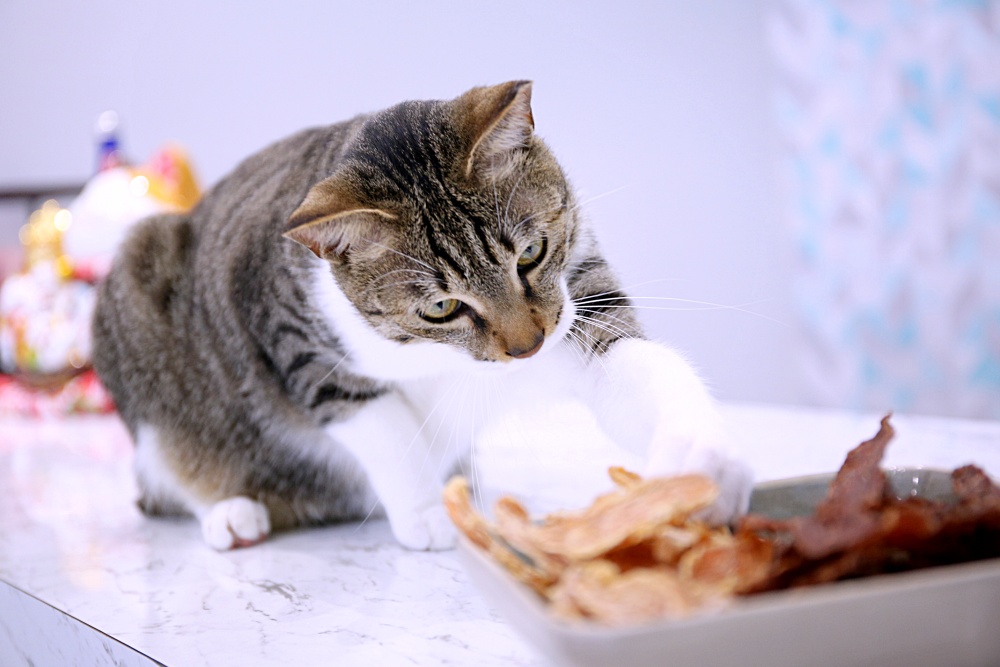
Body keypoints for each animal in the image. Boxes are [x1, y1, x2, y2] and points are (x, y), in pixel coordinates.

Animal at [94, 81, 752, 552]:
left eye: (531, 252)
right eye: (440, 306)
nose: (527, 348)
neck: (445, 357)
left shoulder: (581, 300)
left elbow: (634, 368)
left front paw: (703, 464)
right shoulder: (301, 346)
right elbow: (388, 431)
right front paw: (428, 515)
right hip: (135, 286)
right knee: (167, 472)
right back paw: (230, 511)